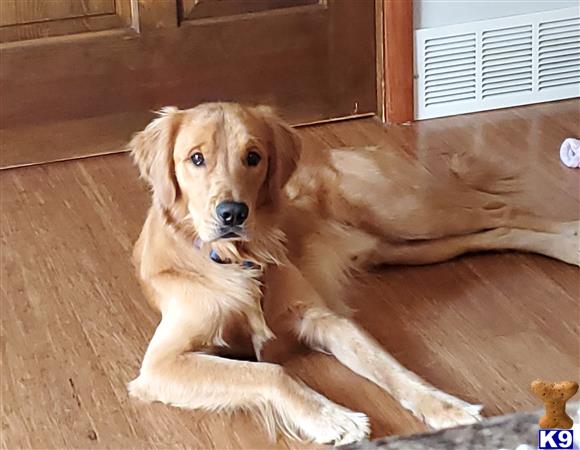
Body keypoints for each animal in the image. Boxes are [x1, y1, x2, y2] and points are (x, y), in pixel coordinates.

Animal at [128, 102, 580, 442]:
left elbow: (391, 369)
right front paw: (333, 417)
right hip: (411, 247)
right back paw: (568, 244)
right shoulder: (162, 364)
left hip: (408, 216)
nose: (233, 213)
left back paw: (571, 235)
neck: (239, 258)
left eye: (253, 157)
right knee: (496, 230)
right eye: (196, 158)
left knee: (502, 210)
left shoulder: (323, 319)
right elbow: (272, 372)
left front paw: (446, 406)